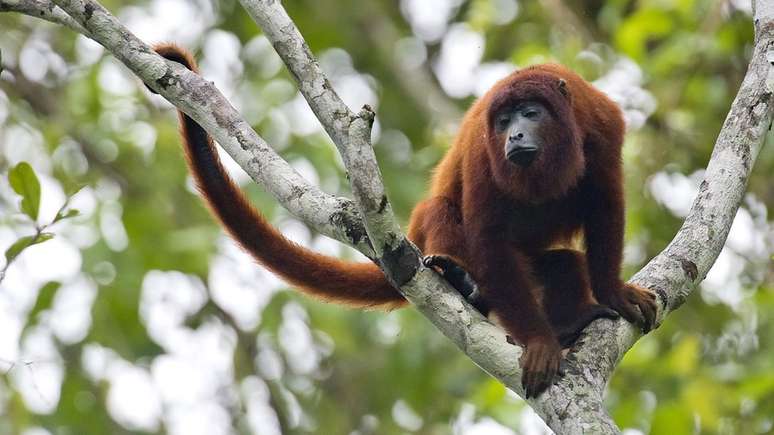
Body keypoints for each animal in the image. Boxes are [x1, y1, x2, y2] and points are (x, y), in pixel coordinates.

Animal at [149, 43, 656, 398]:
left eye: (531, 114)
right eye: (503, 121)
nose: (514, 135)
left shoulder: (603, 124)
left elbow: (607, 205)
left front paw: (613, 294)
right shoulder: (481, 150)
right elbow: (487, 232)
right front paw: (540, 343)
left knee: (565, 262)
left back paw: (570, 320)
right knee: (441, 213)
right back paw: (460, 281)